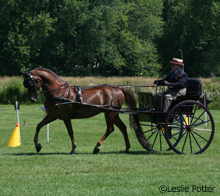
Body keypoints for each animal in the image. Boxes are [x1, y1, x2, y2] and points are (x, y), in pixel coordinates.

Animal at [19, 68, 150, 155]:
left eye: (31, 83)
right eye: (25, 84)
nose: (32, 99)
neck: (58, 92)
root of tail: (118, 88)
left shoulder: (65, 116)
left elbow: (70, 131)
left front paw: (73, 149)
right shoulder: (52, 115)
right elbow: (39, 126)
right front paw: (37, 145)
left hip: (109, 113)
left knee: (110, 129)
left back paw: (97, 147)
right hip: (114, 114)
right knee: (122, 127)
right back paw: (127, 148)